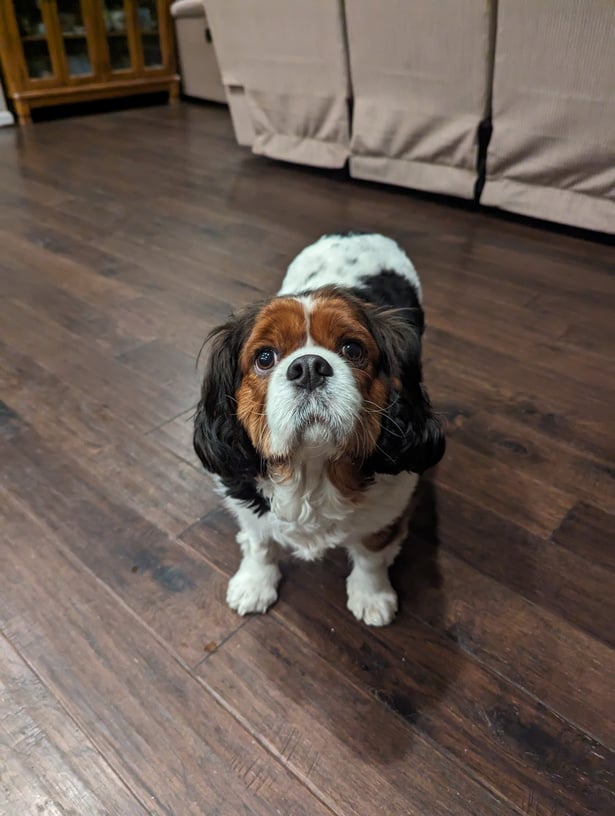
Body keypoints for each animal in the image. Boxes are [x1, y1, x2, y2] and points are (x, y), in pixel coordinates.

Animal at [195, 233, 446, 628]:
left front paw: (371, 595)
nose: (309, 367)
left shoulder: (389, 510)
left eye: (352, 349)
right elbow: (259, 542)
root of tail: (359, 233)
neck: (313, 472)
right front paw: (254, 583)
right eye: (264, 357)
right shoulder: (249, 504)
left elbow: (372, 554)